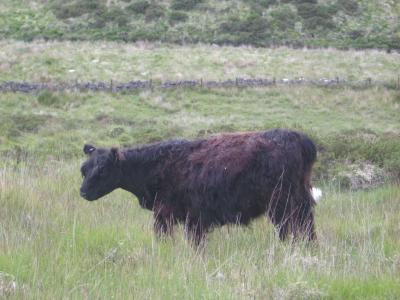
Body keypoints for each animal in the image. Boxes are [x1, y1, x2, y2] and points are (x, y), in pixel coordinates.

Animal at [80, 128, 318, 244]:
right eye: (84, 169)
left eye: (102, 170)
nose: (82, 192)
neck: (157, 165)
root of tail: (298, 137)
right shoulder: (183, 219)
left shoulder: (174, 216)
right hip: (301, 202)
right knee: (308, 229)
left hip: (282, 205)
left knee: (287, 230)